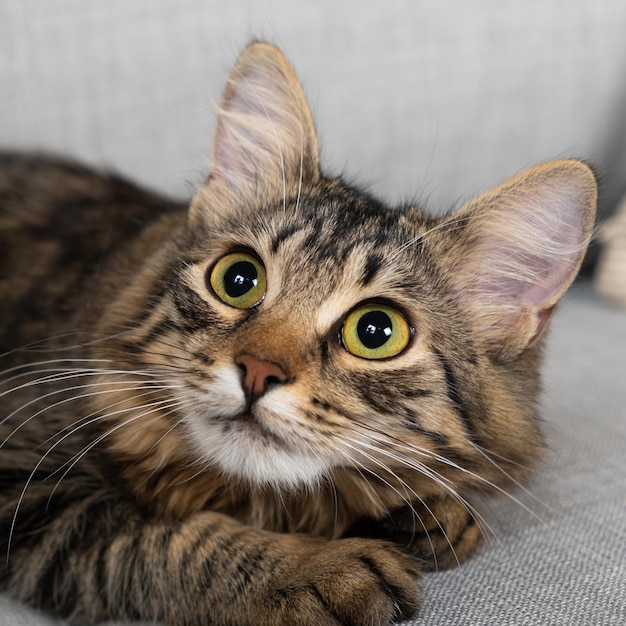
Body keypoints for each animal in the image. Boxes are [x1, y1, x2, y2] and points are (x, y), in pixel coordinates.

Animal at [0, 41, 596, 620]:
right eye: (238, 279)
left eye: (375, 331)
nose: (257, 370)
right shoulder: (32, 481)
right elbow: (166, 540)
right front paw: (319, 570)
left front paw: (433, 515)